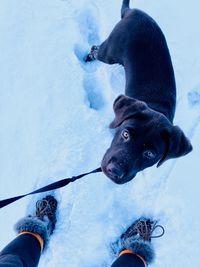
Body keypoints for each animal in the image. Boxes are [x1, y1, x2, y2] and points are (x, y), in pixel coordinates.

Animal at [86, 0, 192, 184]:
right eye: (125, 134)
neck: (156, 108)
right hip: (109, 52)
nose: (114, 171)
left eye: (149, 154)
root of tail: (132, 11)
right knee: (95, 49)